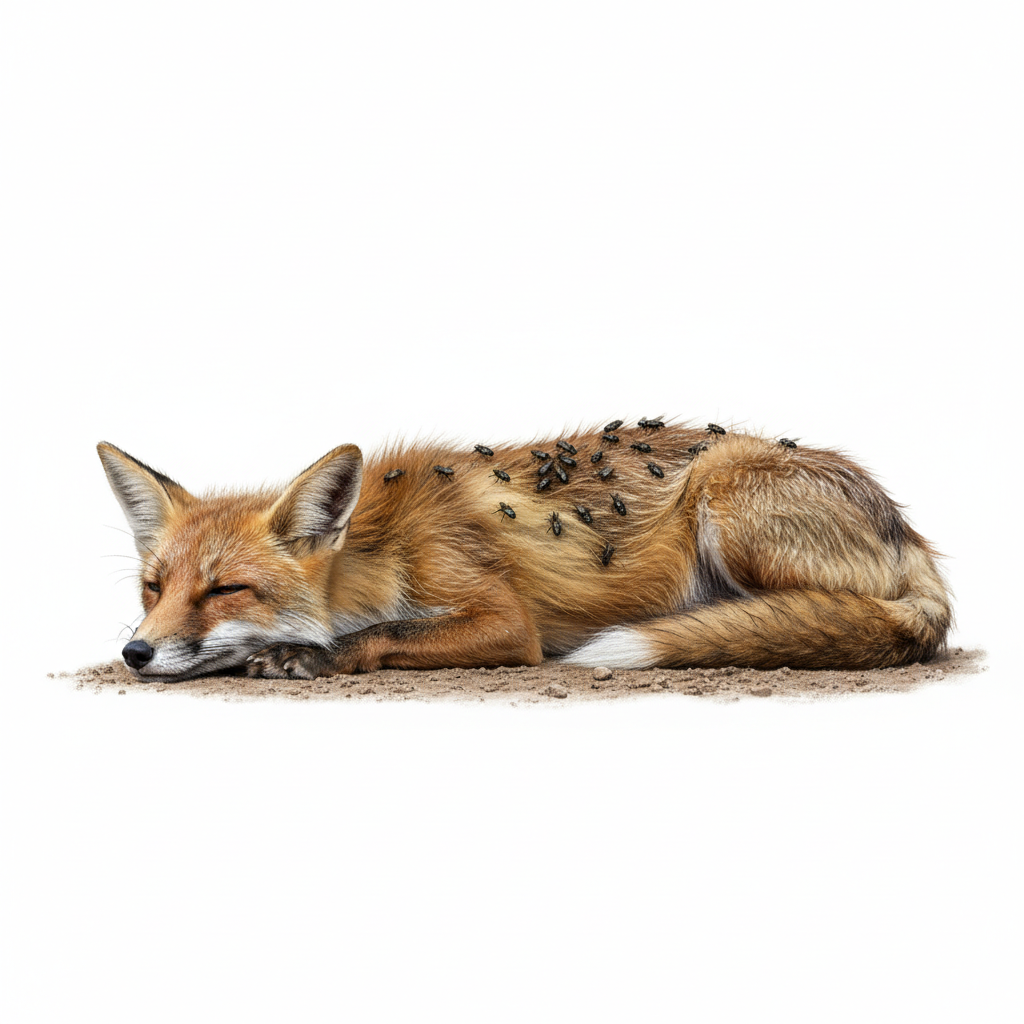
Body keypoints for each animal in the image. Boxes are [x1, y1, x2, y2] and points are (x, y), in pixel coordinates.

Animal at [97, 421, 952, 682]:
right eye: (154, 587)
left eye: (225, 590)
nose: (135, 652)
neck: (386, 544)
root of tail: (912, 535)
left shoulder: (507, 621)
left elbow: (382, 633)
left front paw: (306, 655)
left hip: (722, 491)